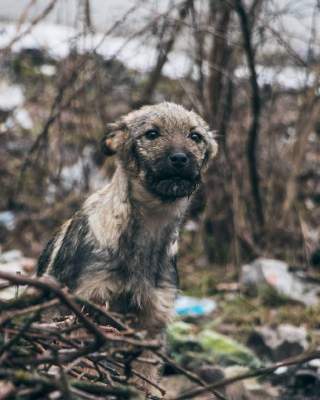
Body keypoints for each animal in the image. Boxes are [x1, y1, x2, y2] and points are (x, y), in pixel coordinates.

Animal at [37, 101, 218, 392]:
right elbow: (85, 364)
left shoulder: (152, 320)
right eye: (152, 134)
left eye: (195, 136)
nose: (180, 159)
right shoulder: (86, 308)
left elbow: (145, 380)